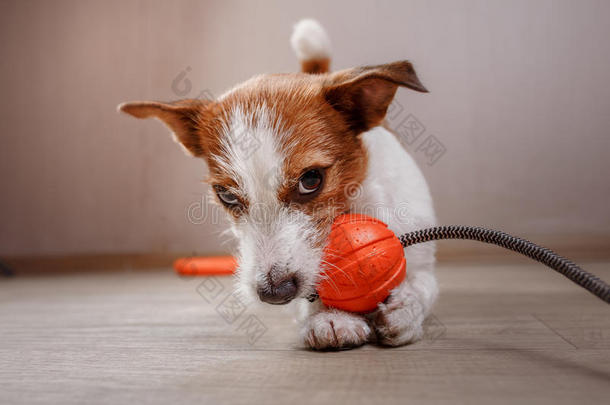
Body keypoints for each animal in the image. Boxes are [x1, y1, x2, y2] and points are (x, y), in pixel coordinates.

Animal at [119, 18, 434, 348]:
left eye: (311, 180)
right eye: (226, 195)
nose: (274, 293)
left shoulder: (424, 265)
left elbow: (420, 288)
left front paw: (404, 309)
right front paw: (333, 316)